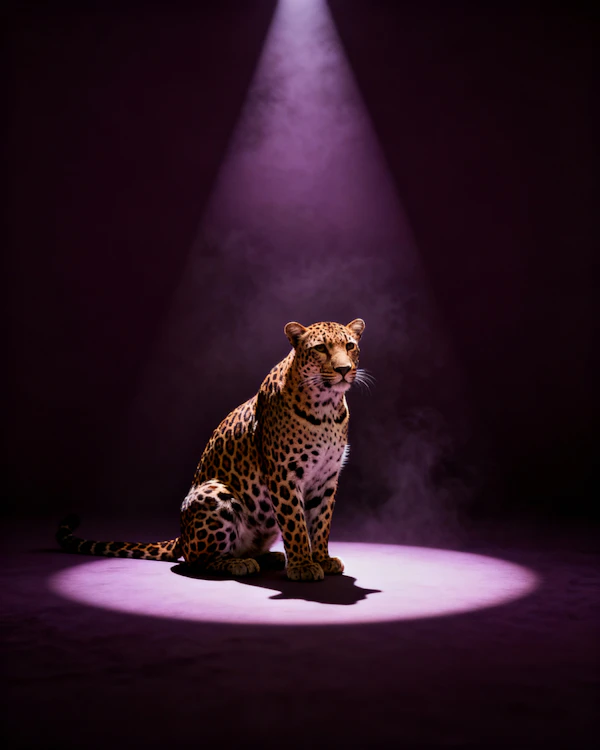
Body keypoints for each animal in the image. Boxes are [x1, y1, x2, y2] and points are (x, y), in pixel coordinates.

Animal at [57, 318, 366, 582]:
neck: (327, 407)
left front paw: (321, 559)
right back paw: (239, 563)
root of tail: (182, 535)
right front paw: (303, 565)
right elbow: (296, 523)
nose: (343, 370)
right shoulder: (284, 474)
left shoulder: (326, 477)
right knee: (196, 560)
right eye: (320, 349)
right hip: (216, 493)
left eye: (350, 346)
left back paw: (270, 557)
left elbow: (321, 521)